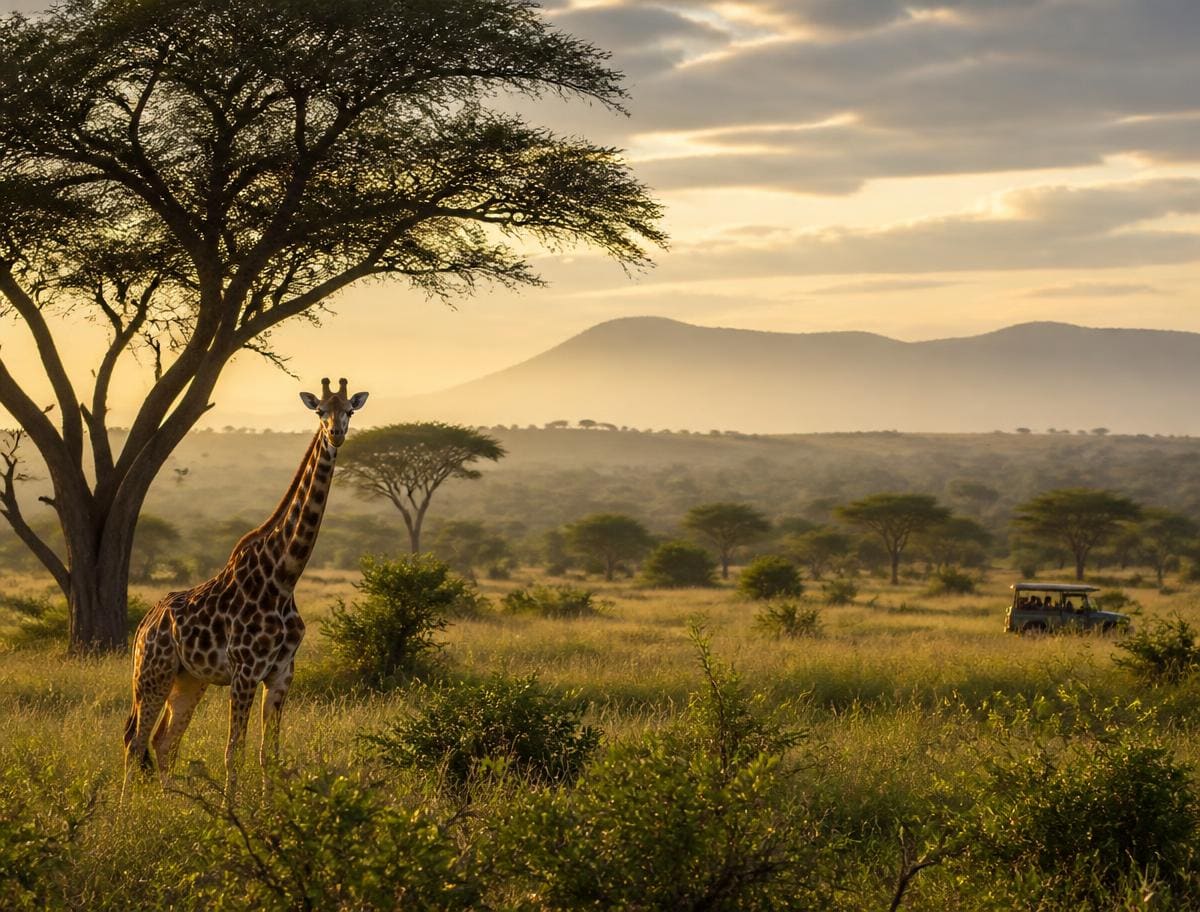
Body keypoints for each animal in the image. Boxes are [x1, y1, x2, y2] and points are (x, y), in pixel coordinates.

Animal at [122, 378, 368, 803]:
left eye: (349, 411)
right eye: (320, 411)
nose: (335, 434)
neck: (284, 576)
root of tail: (145, 623)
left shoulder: (282, 673)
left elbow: (270, 752)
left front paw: (270, 810)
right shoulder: (245, 672)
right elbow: (233, 750)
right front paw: (229, 811)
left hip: (190, 679)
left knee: (164, 741)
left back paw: (171, 803)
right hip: (152, 671)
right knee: (135, 740)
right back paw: (124, 809)